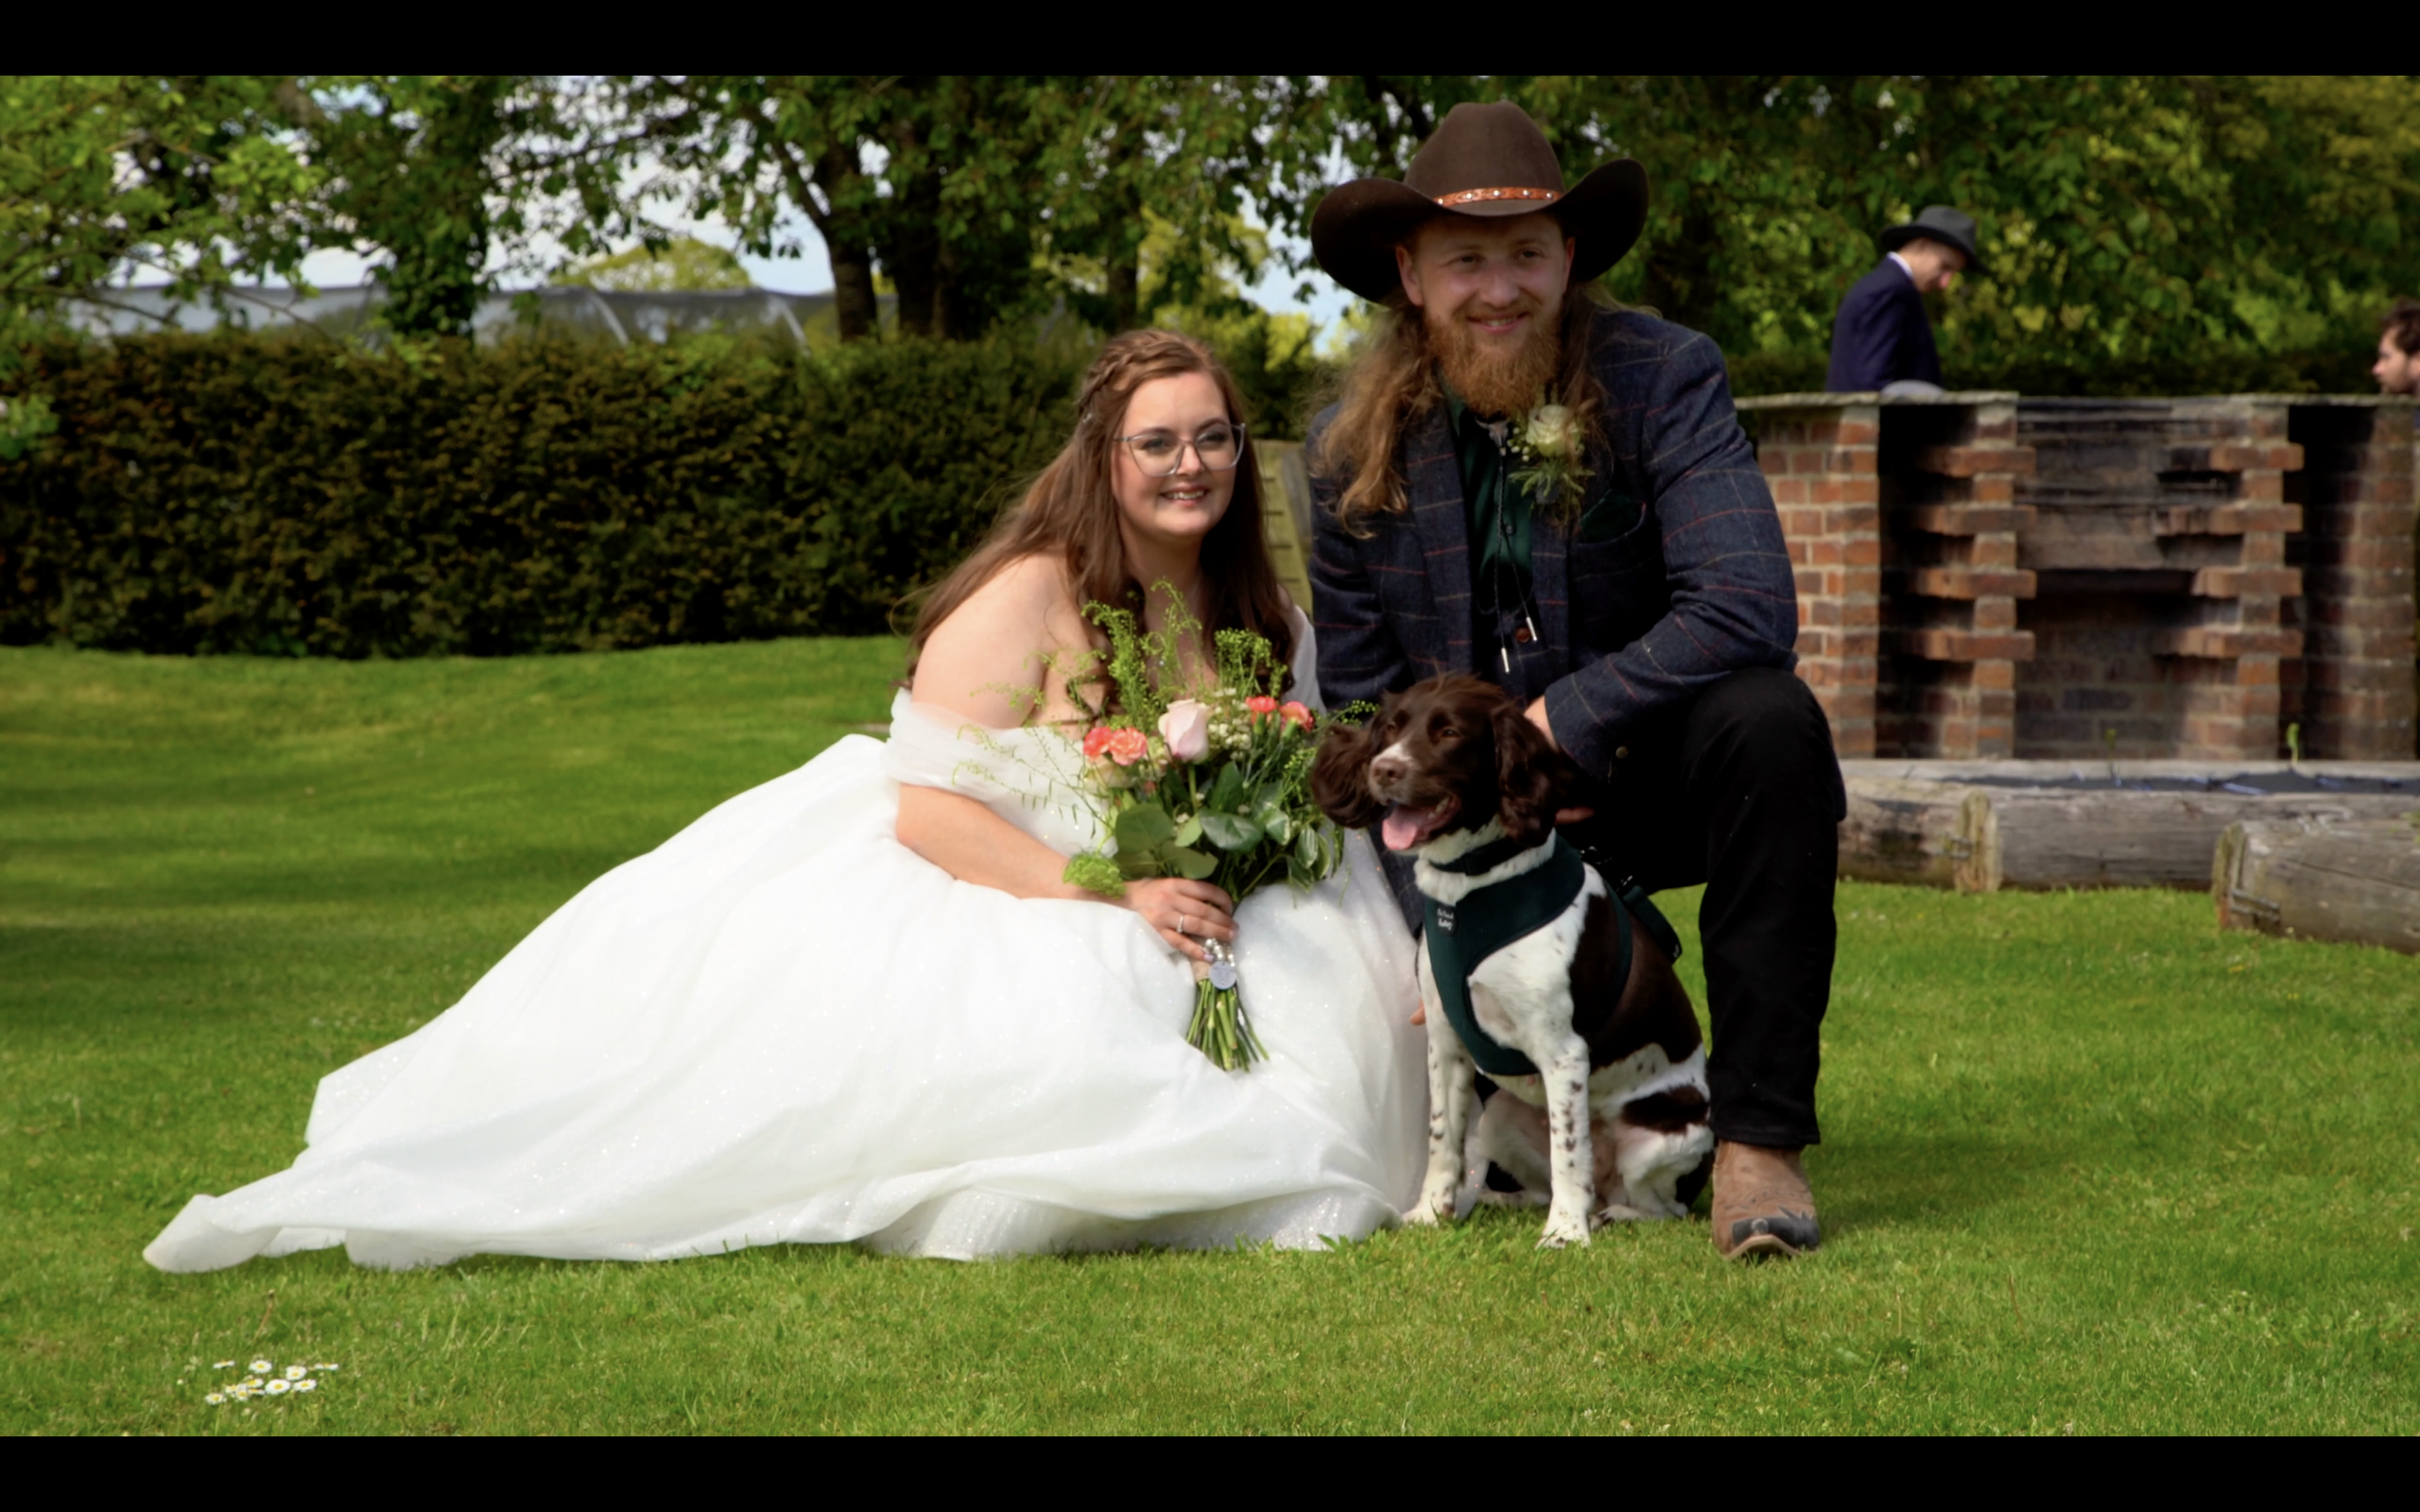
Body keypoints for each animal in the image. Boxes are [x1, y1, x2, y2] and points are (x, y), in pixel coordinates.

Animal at [1316, 677, 1713, 1247]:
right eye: (1391, 727)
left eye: (1451, 733)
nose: (1384, 769)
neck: (1470, 891)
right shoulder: (1445, 1039)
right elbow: (1442, 1137)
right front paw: (1432, 1213)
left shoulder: (1564, 1052)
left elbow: (1570, 1152)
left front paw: (1566, 1235)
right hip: (1500, 1118)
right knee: (1547, 1184)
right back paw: (1502, 1200)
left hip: (1662, 1142)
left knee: (1657, 1206)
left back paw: (1606, 1215)